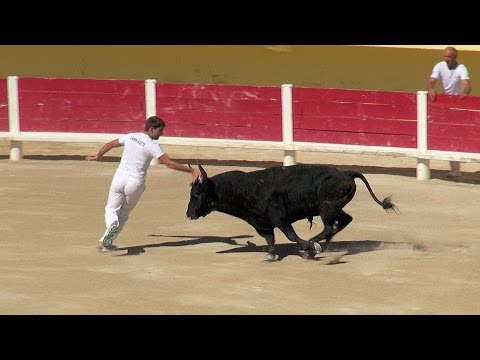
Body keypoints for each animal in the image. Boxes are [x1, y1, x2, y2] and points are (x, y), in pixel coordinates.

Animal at [187, 164, 398, 262]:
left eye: (196, 194)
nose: (188, 214)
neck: (248, 188)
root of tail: (346, 173)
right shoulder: (262, 223)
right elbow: (270, 239)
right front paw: (271, 255)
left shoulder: (279, 217)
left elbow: (291, 235)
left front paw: (308, 248)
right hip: (334, 207)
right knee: (344, 221)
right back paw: (325, 244)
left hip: (327, 207)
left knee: (330, 226)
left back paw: (314, 244)